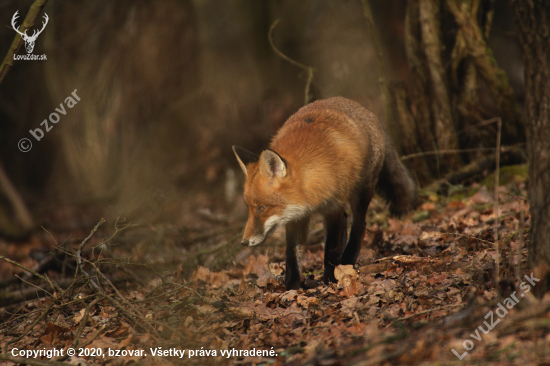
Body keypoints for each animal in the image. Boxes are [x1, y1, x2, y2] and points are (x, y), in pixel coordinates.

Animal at [234, 96, 418, 288]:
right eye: (249, 208)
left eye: (262, 208)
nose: (244, 242)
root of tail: (364, 111)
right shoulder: (295, 217)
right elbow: (292, 254)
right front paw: (291, 285)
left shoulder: (333, 207)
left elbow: (331, 247)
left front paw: (331, 278)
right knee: (346, 220)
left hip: (361, 190)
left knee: (359, 225)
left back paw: (347, 260)